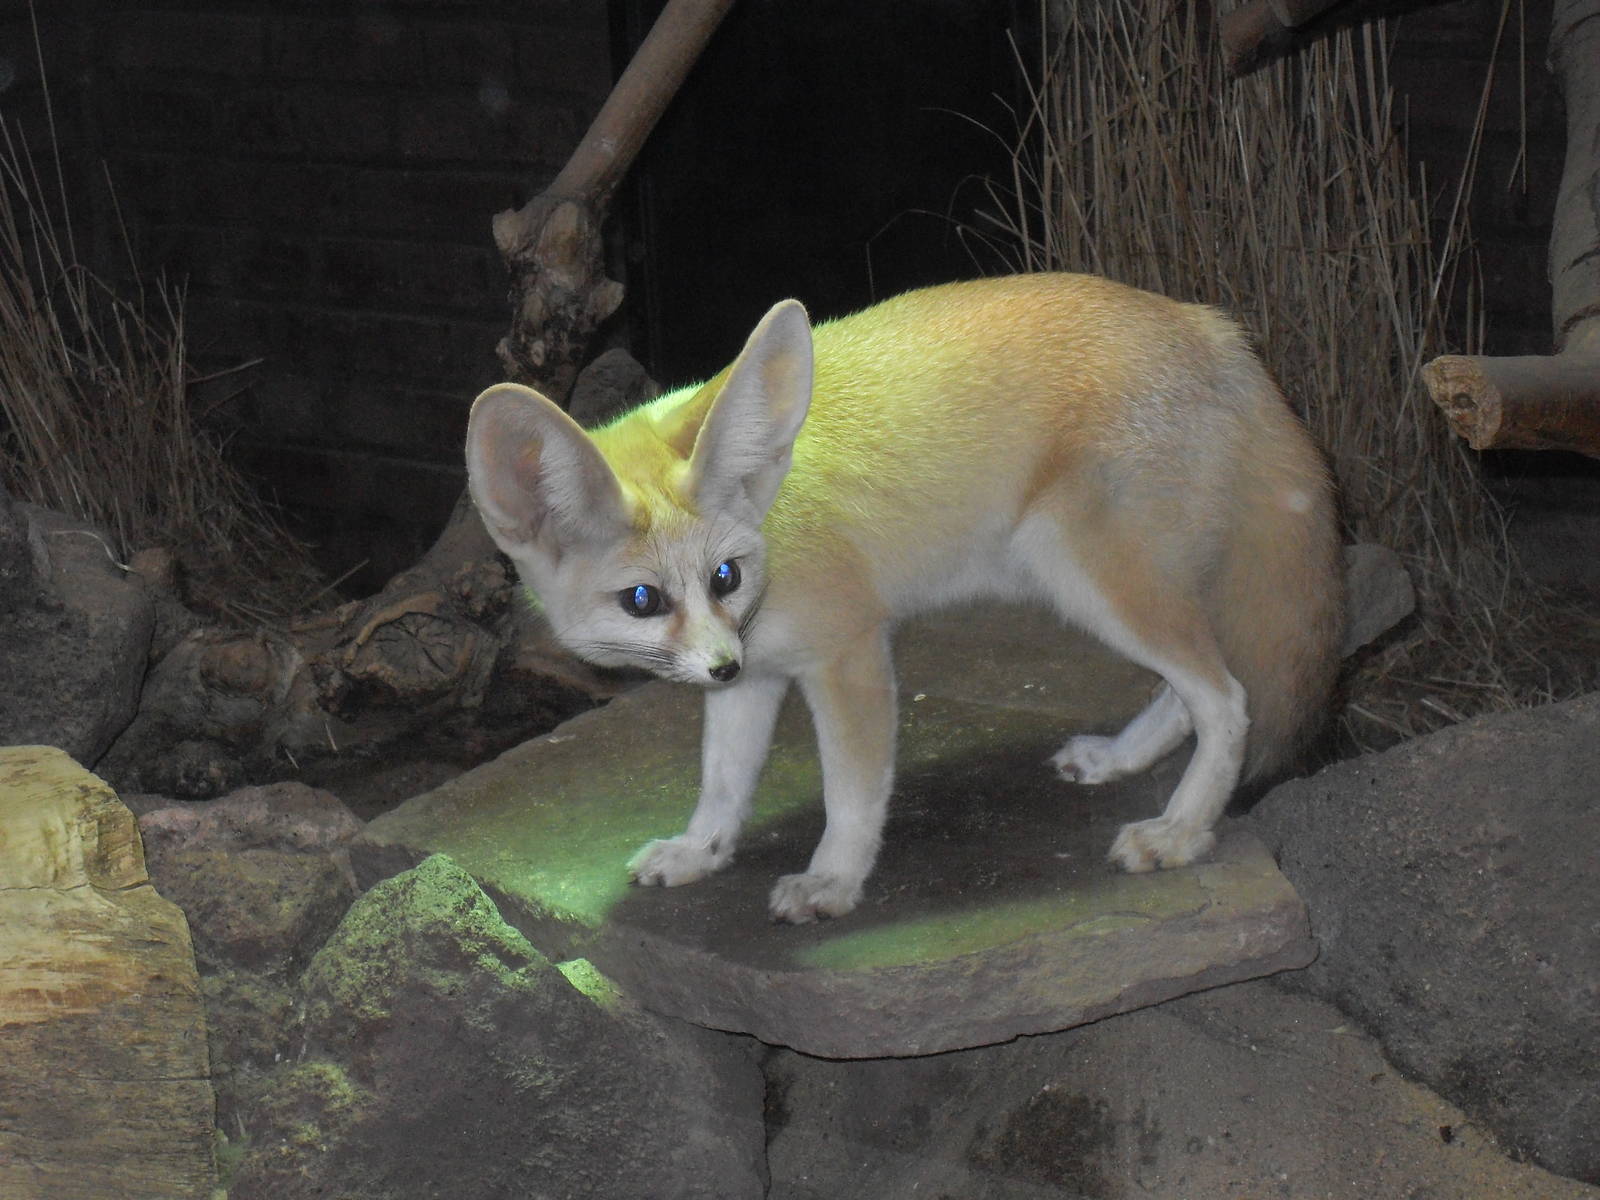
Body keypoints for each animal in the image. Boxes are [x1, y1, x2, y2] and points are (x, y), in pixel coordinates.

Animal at [465, 273, 1342, 924]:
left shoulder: (846, 654)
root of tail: (1210, 326)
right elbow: (722, 785)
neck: (772, 525)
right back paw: (1123, 760)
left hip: (1092, 578)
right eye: (643, 599)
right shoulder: (756, 675)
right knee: (1189, 694)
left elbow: (853, 795)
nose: (717, 667)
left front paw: (833, 881)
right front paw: (699, 852)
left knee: (1227, 700)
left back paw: (1182, 832)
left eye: (723, 578)